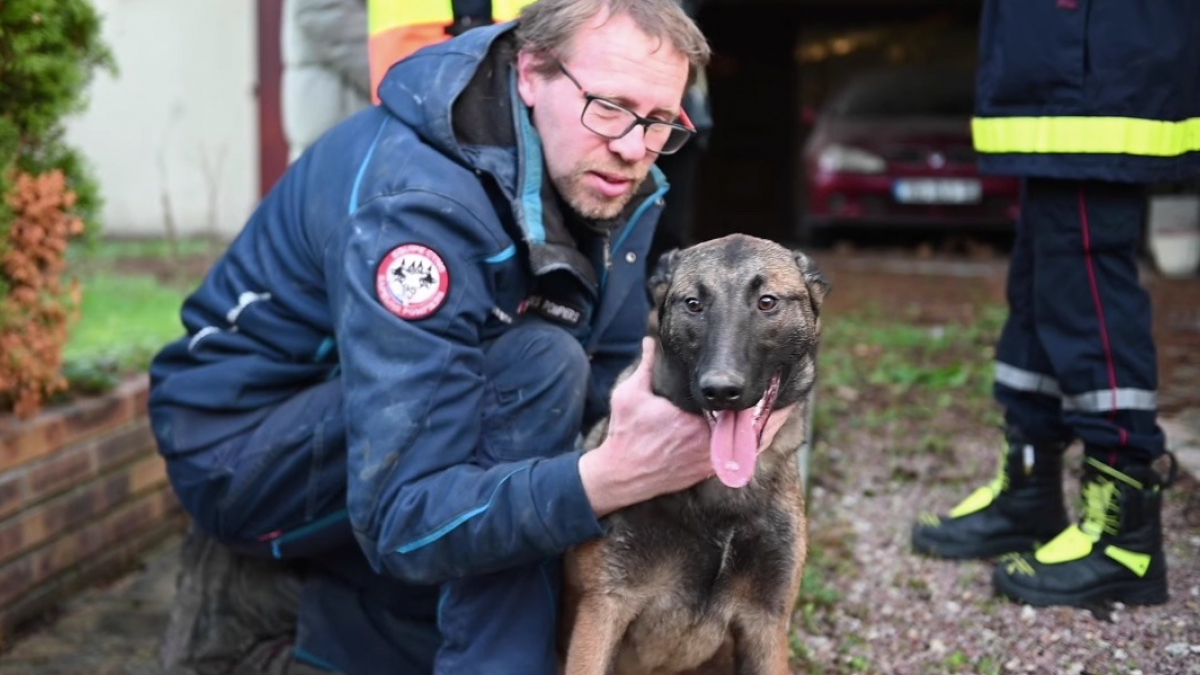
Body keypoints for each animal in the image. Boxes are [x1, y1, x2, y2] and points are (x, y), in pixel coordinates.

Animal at [559, 233, 825, 672]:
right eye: (694, 304)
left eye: (767, 302)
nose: (721, 389)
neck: (719, 498)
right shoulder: (603, 611)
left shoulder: (766, 625)